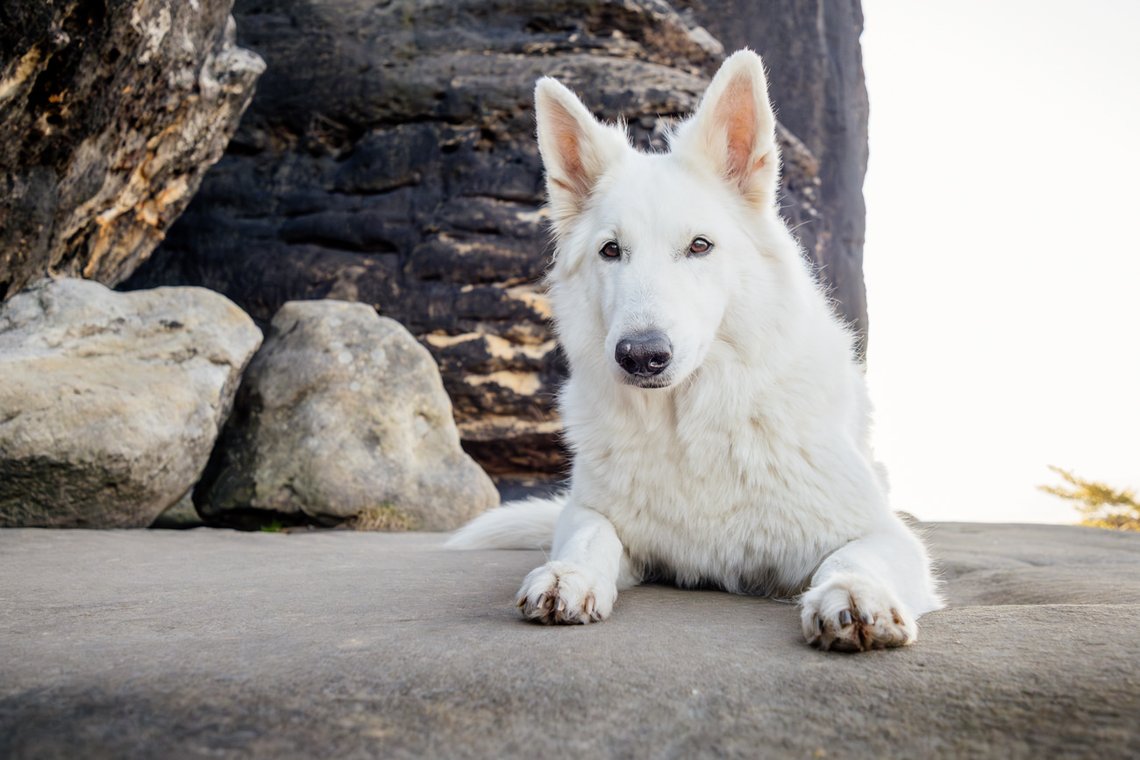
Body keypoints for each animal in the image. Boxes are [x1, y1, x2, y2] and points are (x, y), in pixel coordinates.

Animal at [446, 48, 943, 656]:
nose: (640, 356)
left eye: (700, 246)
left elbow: (856, 555)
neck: (690, 423)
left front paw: (853, 592)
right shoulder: (590, 511)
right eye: (611, 250)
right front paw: (572, 575)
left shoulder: (883, 532)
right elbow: (590, 534)